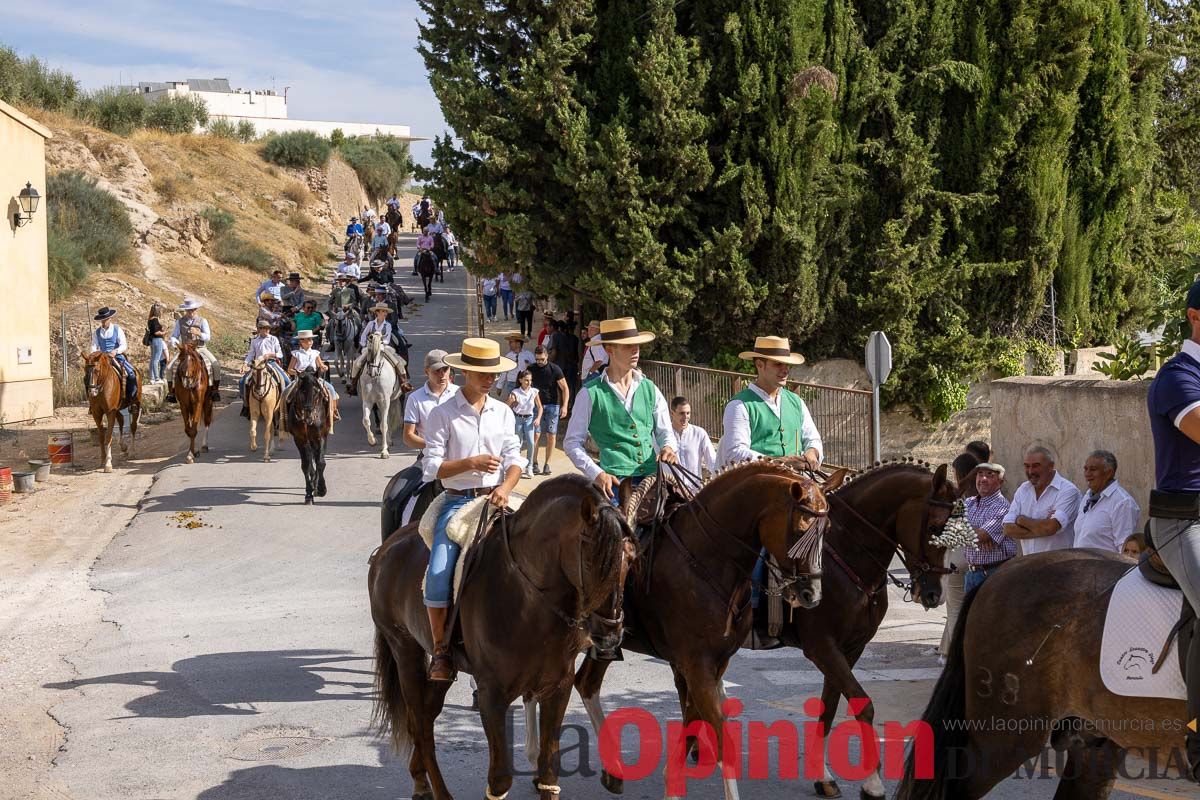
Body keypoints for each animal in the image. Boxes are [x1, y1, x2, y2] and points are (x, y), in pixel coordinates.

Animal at [369, 474, 638, 800]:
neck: (529, 600)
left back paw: (420, 782)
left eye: (630, 558)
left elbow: (549, 768)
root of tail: (385, 550)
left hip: (440, 664)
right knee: (419, 722)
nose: (609, 633)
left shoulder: (557, 688)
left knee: (426, 715)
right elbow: (499, 780)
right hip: (404, 650)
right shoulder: (492, 696)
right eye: (590, 560)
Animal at [566, 460, 840, 796]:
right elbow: (723, 742)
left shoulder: (714, 664)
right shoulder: (697, 665)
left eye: (827, 530)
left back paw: (612, 770)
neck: (707, 558)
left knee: (586, 683)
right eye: (799, 530)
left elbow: (693, 719)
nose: (812, 594)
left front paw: (673, 780)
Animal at [772, 460, 960, 796]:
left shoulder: (850, 648)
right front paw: (872, 781)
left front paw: (823, 776)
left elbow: (831, 706)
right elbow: (864, 706)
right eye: (935, 529)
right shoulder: (822, 646)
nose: (934, 595)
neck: (844, 553)